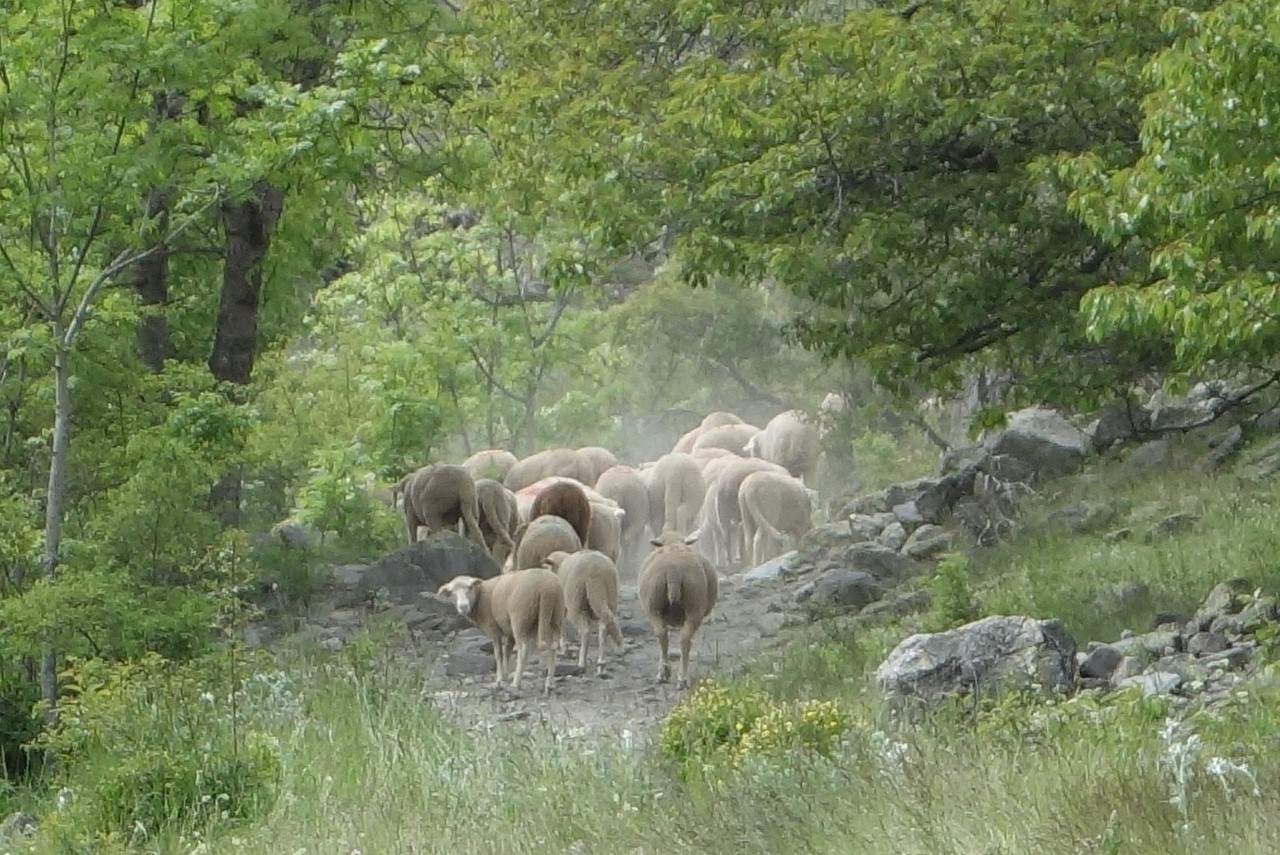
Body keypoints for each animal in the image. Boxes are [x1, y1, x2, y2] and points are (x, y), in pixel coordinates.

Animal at [437, 568, 563, 696]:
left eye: (470, 587)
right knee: (553, 647)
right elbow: (507, 652)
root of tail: (546, 587)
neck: (481, 598)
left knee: (523, 650)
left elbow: (498, 654)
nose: (463, 606)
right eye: (451, 592)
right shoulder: (509, 631)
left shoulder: (494, 629)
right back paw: (549, 685)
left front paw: (499, 678)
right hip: (554, 616)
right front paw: (504, 676)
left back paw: (516, 683)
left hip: (520, 618)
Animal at [640, 527, 721, 686]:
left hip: (655, 607)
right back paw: (679, 676)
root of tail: (673, 570)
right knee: (680, 638)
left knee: (665, 635)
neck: (673, 543)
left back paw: (667, 674)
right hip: (692, 607)